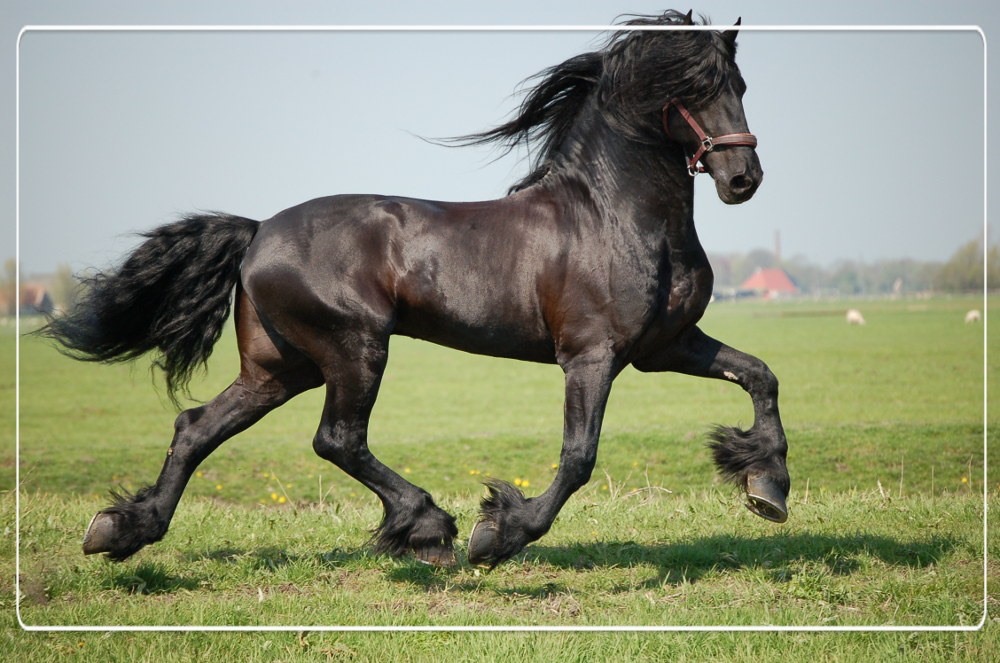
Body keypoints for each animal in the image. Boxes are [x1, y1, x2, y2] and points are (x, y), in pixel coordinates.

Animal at [39, 10, 788, 568]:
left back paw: (122, 529)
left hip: (281, 366)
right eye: (688, 87)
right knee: (336, 439)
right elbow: (578, 456)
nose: (742, 178)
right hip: (354, 349)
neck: (612, 215)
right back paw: (428, 525)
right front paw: (499, 533)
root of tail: (257, 232)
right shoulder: (591, 355)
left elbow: (760, 375)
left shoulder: (666, 345)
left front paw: (767, 485)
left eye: (740, 83)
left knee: (197, 428)